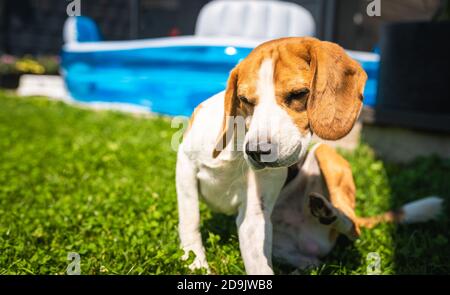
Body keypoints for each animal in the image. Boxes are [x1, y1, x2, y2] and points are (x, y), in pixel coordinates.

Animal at [174, 37, 368, 276]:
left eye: (298, 94)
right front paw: (195, 263)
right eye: (244, 99)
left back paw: (328, 211)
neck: (236, 150)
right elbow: (190, 220)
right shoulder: (185, 166)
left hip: (325, 152)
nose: (256, 151)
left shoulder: (254, 214)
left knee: (353, 226)